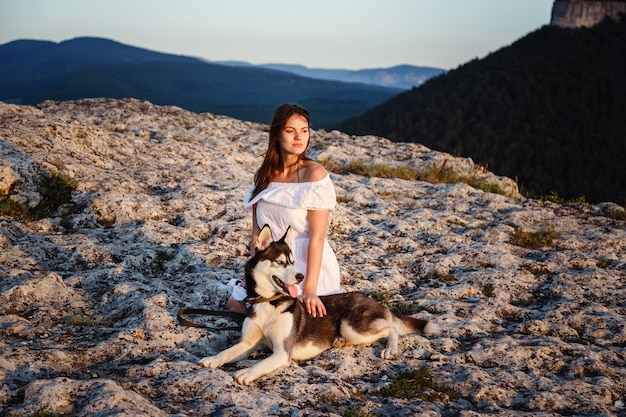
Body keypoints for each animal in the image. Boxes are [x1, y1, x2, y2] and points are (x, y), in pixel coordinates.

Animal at [200, 224, 438, 384]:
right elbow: (227, 352)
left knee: (391, 328)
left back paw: (390, 349)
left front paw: (246, 373)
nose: (300, 276)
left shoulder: (282, 352)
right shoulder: (249, 343)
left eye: (293, 261)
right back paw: (341, 342)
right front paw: (212, 359)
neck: (270, 303)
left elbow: (261, 363)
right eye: (280, 262)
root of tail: (369, 299)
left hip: (351, 326)